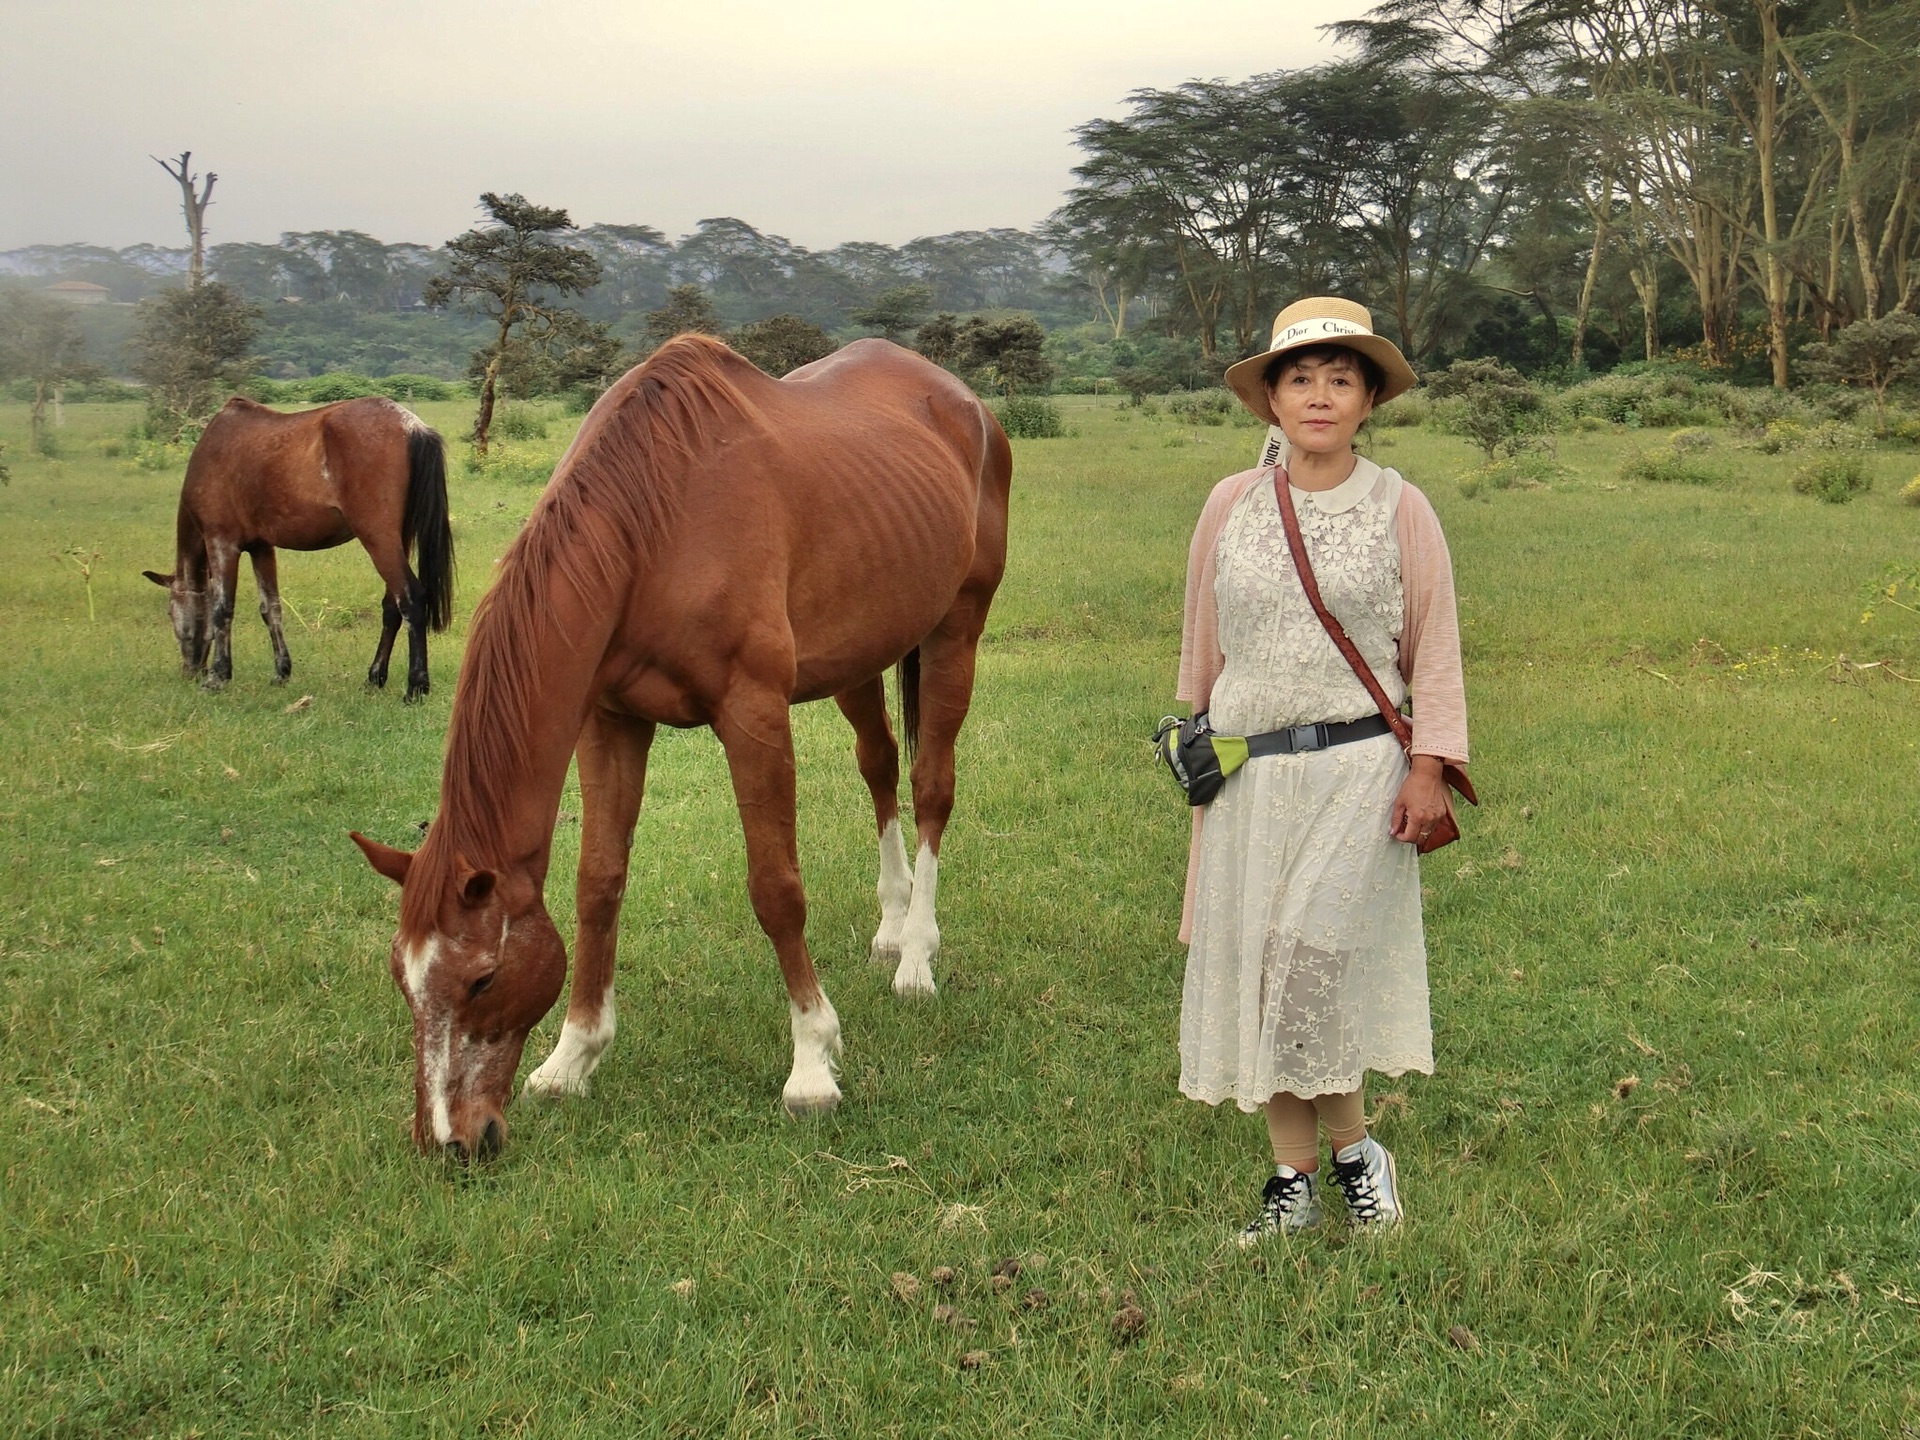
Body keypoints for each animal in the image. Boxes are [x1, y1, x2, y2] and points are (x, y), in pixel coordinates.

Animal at [144, 397, 455, 702]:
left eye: (171, 612)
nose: (190, 671)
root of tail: (410, 425)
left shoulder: (222, 543)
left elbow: (222, 609)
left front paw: (218, 676)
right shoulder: (261, 548)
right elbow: (271, 608)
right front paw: (281, 672)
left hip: (379, 539)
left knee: (411, 599)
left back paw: (415, 687)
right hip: (399, 538)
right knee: (392, 607)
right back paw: (374, 678)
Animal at [357, 336, 1021, 1159]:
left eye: (482, 978)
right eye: (402, 979)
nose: (452, 1140)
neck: (654, 524)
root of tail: (962, 401)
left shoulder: (753, 713)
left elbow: (777, 890)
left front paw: (812, 1063)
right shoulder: (609, 723)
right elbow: (598, 885)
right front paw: (571, 1057)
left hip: (957, 629)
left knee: (932, 784)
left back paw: (919, 958)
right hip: (861, 656)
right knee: (881, 765)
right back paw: (893, 930)